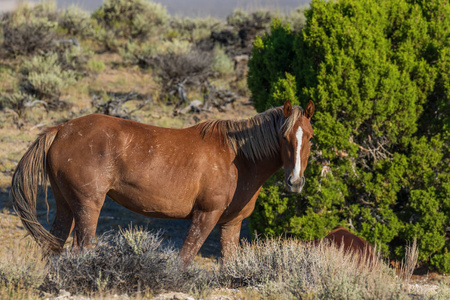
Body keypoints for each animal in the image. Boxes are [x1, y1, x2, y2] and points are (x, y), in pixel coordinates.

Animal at [9, 99, 312, 264]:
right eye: (283, 137)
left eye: (309, 136)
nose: (295, 182)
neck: (237, 158)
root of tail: (60, 129)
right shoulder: (206, 216)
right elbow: (185, 259)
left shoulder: (231, 223)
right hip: (87, 206)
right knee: (81, 249)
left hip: (65, 205)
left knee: (52, 248)